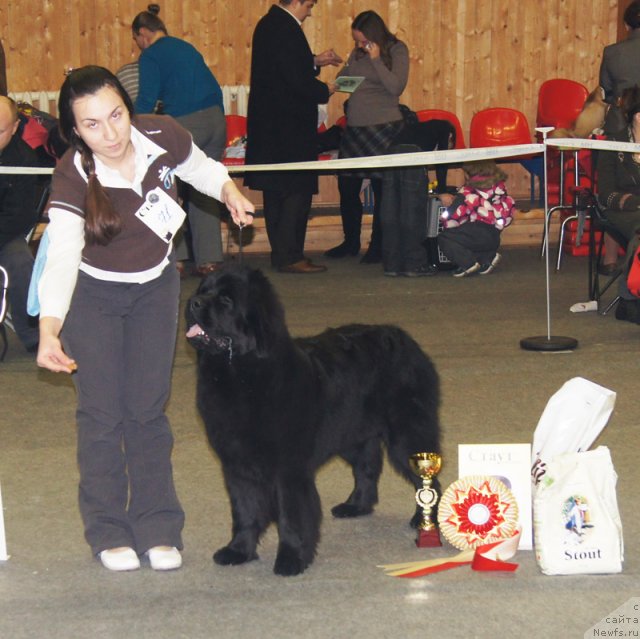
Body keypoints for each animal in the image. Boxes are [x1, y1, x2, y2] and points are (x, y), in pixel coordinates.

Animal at [185, 262, 440, 576]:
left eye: (225, 300)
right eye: (203, 290)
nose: (193, 302)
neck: (240, 375)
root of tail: (405, 337)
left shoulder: (289, 468)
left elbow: (292, 515)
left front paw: (291, 559)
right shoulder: (237, 463)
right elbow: (244, 510)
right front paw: (238, 551)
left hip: (407, 435)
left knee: (426, 480)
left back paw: (425, 519)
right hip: (353, 434)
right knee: (367, 468)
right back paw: (356, 506)